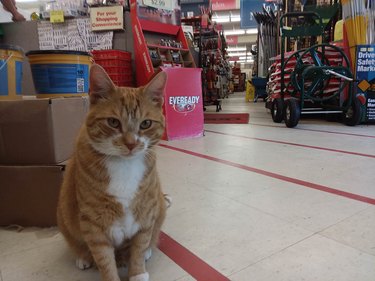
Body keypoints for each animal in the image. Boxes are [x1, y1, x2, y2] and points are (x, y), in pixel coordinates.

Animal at [57, 64, 167, 280]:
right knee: (77, 244)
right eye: (113, 122)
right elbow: (104, 259)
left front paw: (138, 272)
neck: (125, 166)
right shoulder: (94, 223)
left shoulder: (145, 211)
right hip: (63, 214)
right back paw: (83, 257)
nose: (131, 144)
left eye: (146, 124)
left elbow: (139, 246)